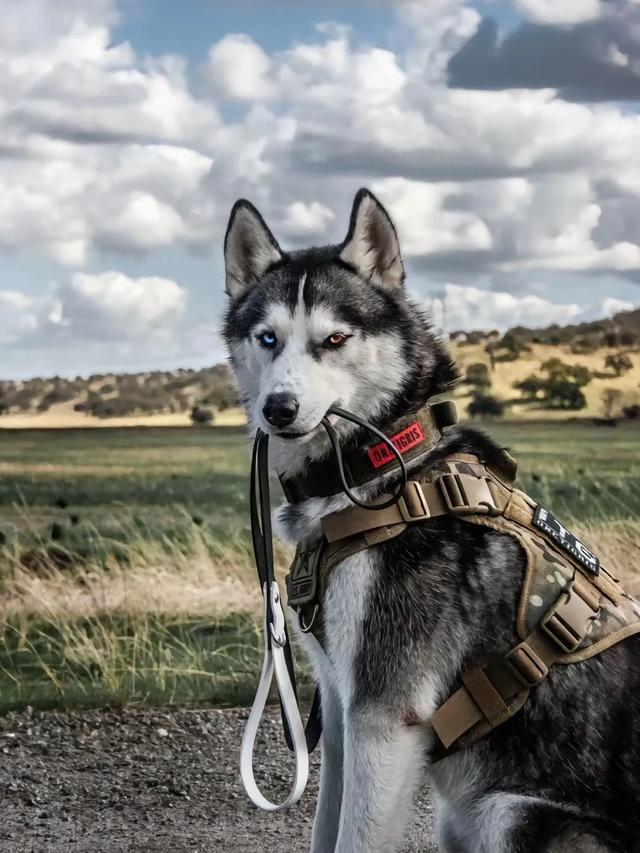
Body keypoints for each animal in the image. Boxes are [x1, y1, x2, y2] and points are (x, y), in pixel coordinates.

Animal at [223, 188, 640, 853]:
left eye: (334, 339)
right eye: (267, 338)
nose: (278, 409)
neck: (382, 471)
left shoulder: (384, 717)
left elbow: (354, 838)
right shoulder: (340, 709)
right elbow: (324, 828)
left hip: (506, 814)